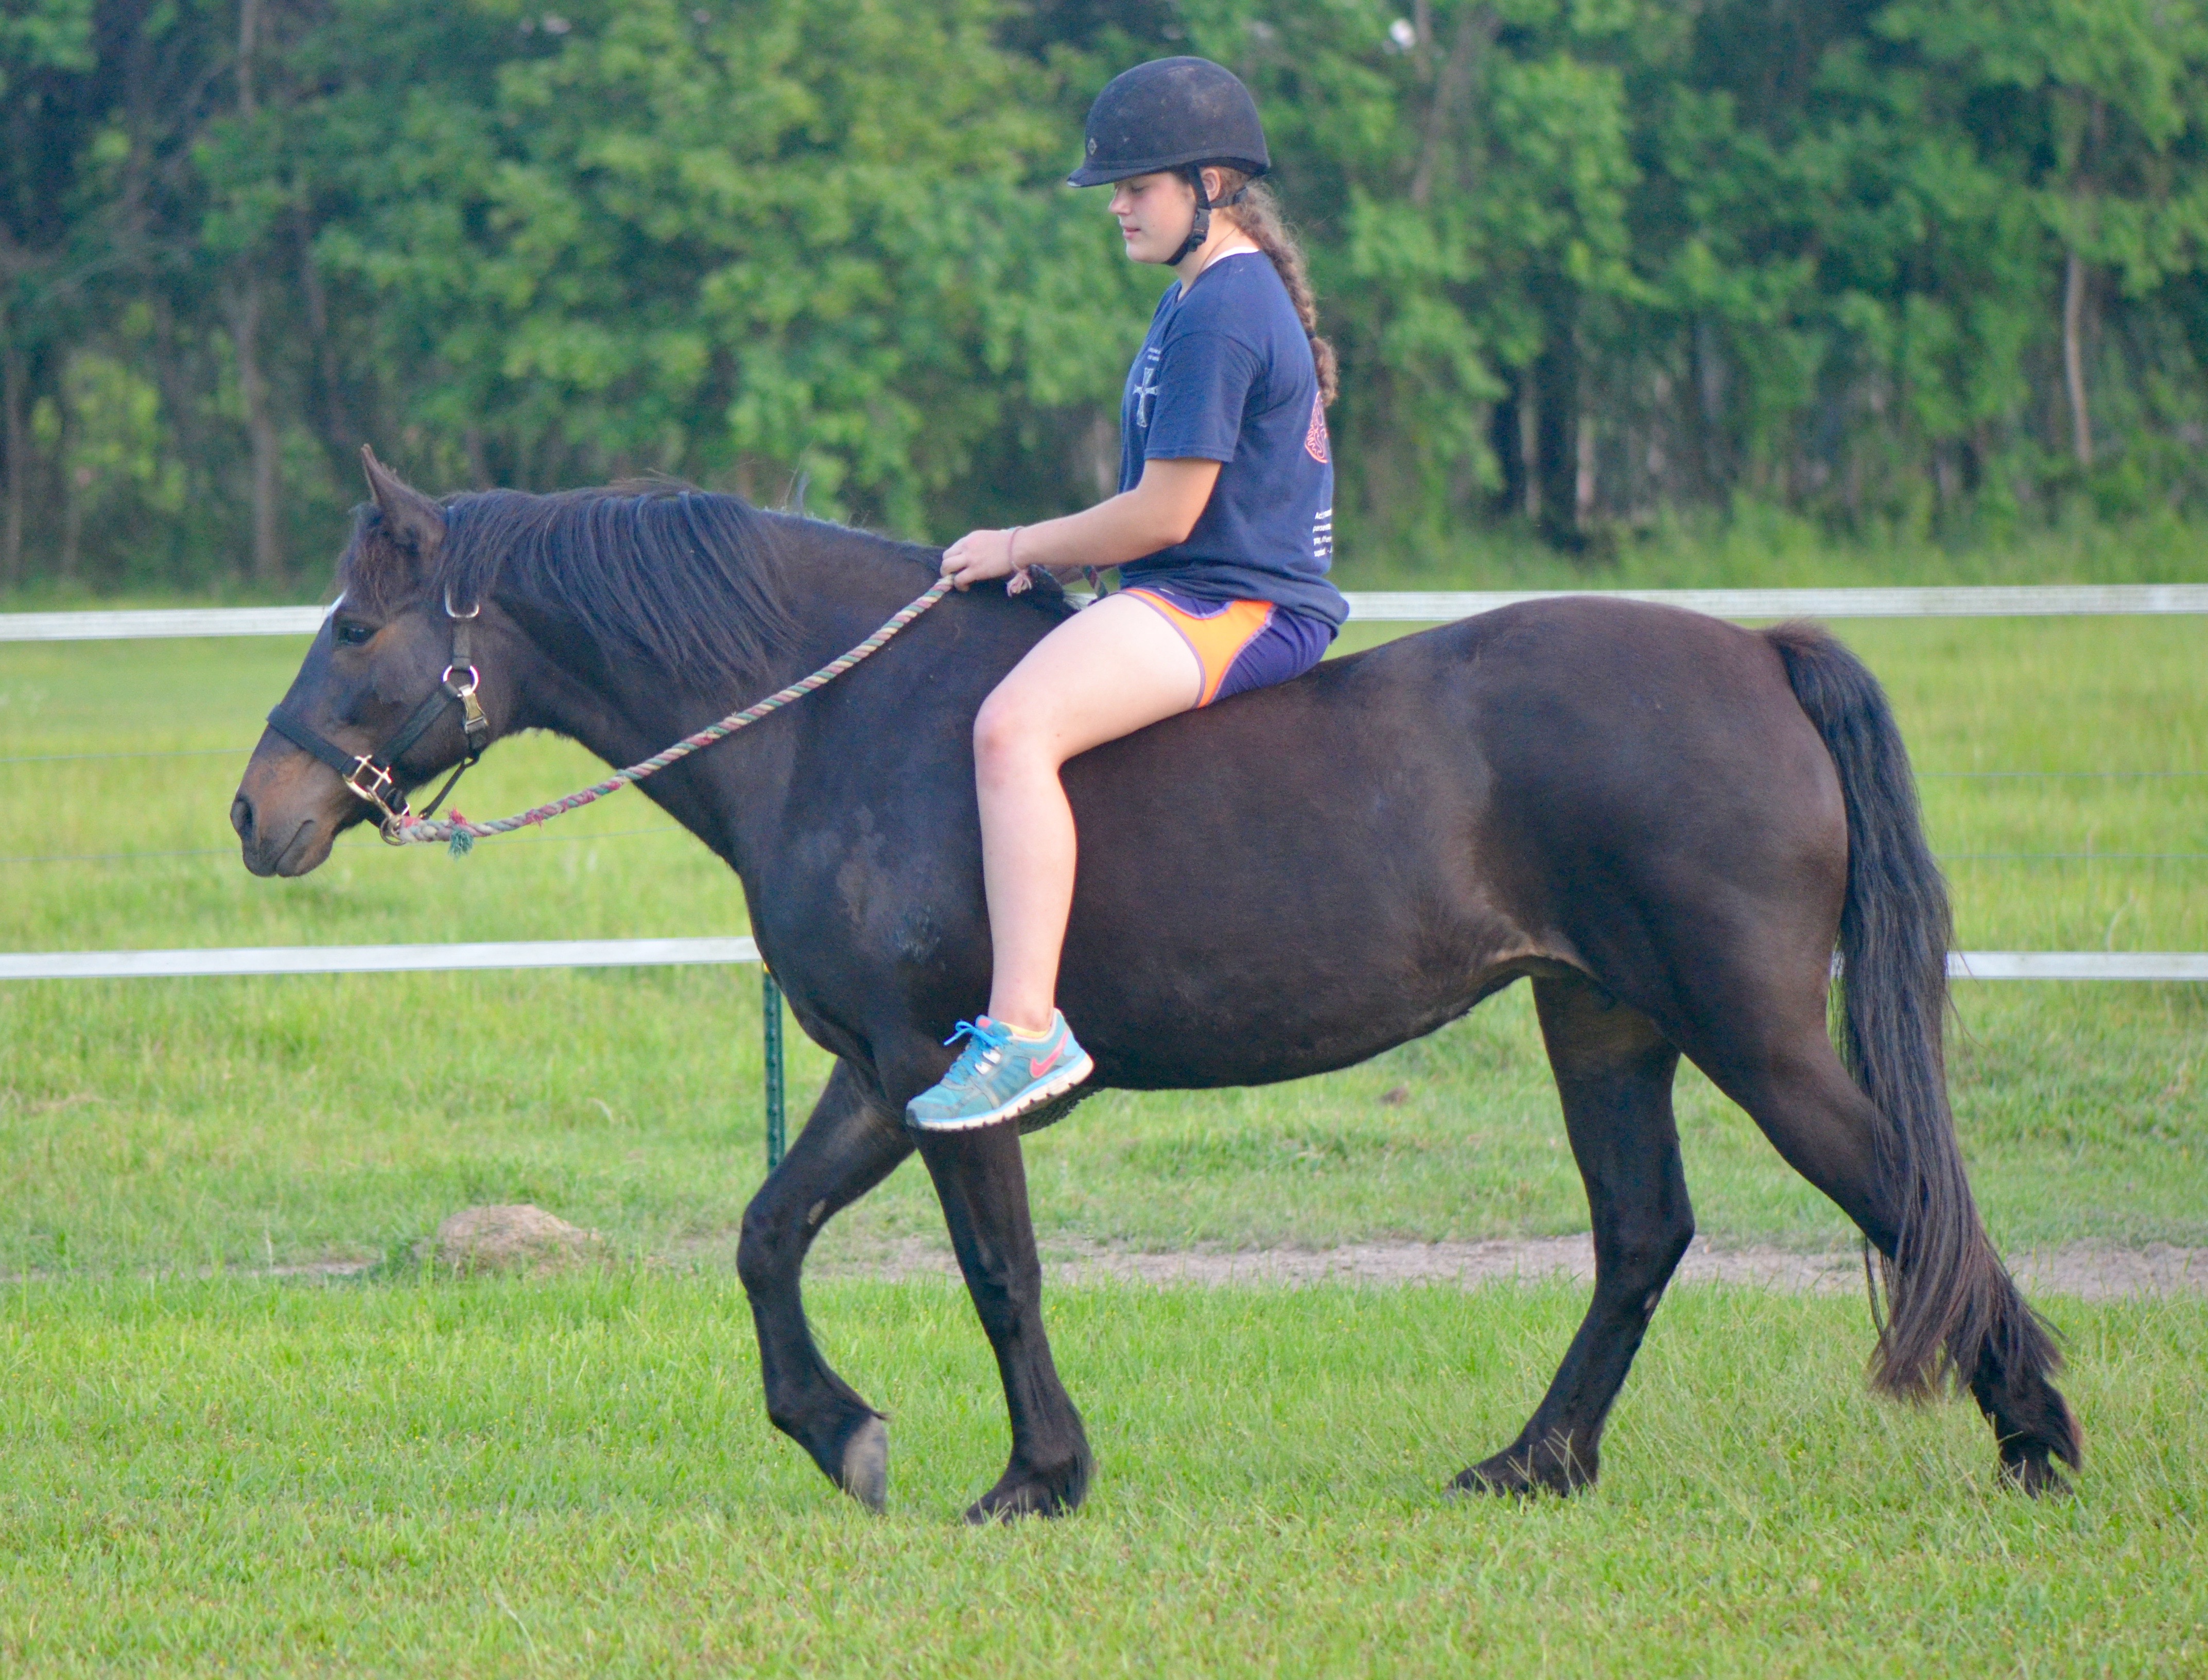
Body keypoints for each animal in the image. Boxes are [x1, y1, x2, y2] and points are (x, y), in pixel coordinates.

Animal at [231, 453, 2080, 1519]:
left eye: (350, 628)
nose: (258, 813)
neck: (838, 719)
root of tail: (1756, 652)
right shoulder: (874, 1070)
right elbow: (767, 1233)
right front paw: (839, 1432)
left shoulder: (934, 1064)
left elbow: (998, 1274)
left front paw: (1035, 1477)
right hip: (1602, 1021)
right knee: (1641, 1235)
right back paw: (1533, 1462)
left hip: (1750, 1033)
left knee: (1908, 1193)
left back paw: (2035, 1439)